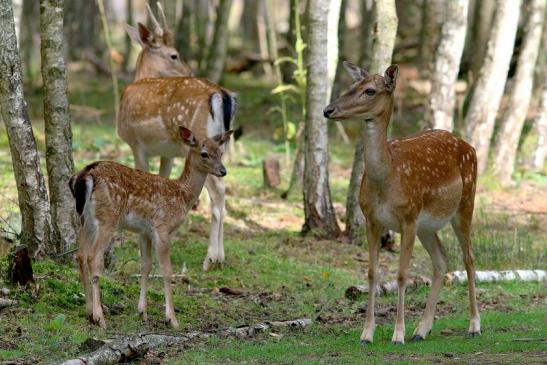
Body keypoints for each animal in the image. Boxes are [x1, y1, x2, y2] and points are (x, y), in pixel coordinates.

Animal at [69, 127, 232, 328]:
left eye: (221, 152)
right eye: (204, 154)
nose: (223, 171)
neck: (183, 195)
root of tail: (85, 175)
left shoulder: (144, 232)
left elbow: (145, 266)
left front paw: (142, 312)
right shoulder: (163, 228)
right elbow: (167, 271)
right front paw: (172, 319)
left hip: (87, 219)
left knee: (80, 255)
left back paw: (89, 311)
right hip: (108, 218)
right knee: (93, 257)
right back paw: (100, 317)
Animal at [122, 3, 238, 270]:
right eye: (174, 55)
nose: (189, 70)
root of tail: (221, 94)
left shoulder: (136, 143)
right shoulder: (168, 153)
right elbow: (161, 182)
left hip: (199, 143)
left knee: (218, 191)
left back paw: (212, 258)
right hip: (219, 143)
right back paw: (221, 257)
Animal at [324, 62, 482, 344]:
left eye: (370, 90)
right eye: (352, 86)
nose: (328, 110)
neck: (388, 177)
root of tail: (470, 147)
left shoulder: (408, 217)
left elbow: (401, 275)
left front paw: (398, 334)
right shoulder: (371, 219)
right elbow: (372, 273)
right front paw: (367, 333)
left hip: (465, 203)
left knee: (469, 258)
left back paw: (474, 325)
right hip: (427, 226)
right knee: (441, 260)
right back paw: (422, 329)